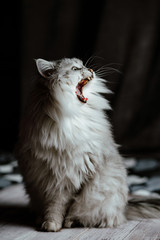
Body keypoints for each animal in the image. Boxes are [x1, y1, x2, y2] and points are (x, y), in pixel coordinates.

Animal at [15, 57, 160, 232]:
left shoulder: (71, 177)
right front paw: (50, 224)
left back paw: (72, 222)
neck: (70, 114)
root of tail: (124, 208)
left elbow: (64, 205)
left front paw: (56, 225)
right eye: (76, 68)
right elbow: (53, 207)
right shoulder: (51, 178)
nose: (90, 69)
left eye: (83, 65)